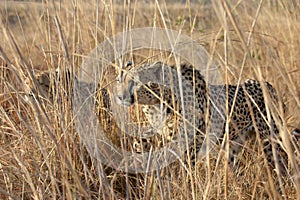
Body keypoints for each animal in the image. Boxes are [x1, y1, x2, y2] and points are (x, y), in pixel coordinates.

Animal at [116, 61, 292, 170]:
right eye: (119, 80)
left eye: (135, 81)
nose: (119, 96)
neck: (159, 100)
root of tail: (269, 85)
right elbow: (143, 142)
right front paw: (136, 153)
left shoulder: (192, 143)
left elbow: (187, 169)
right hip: (235, 144)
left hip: (270, 141)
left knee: (281, 165)